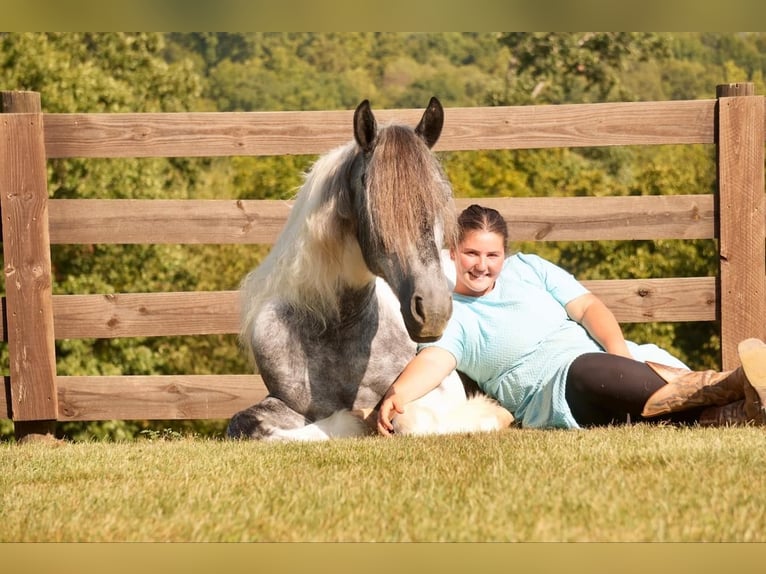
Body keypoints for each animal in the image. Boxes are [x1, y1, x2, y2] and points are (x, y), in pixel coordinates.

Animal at [228, 98, 516, 440]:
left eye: (440, 198)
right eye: (377, 204)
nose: (433, 312)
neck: (339, 328)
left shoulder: (441, 392)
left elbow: (408, 418)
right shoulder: (283, 403)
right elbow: (247, 424)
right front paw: (351, 421)